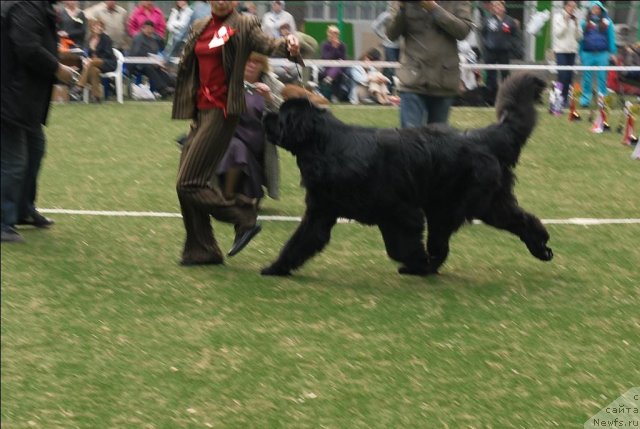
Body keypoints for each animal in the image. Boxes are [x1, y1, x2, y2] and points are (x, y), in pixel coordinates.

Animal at [260, 72, 552, 276]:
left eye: (281, 115)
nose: (265, 113)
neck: (325, 147)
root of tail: (482, 137)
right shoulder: (321, 210)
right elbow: (300, 240)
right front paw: (276, 267)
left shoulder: (400, 211)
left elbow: (401, 246)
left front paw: (417, 263)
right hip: (487, 202)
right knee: (521, 219)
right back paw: (541, 247)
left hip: (453, 206)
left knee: (442, 242)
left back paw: (427, 267)